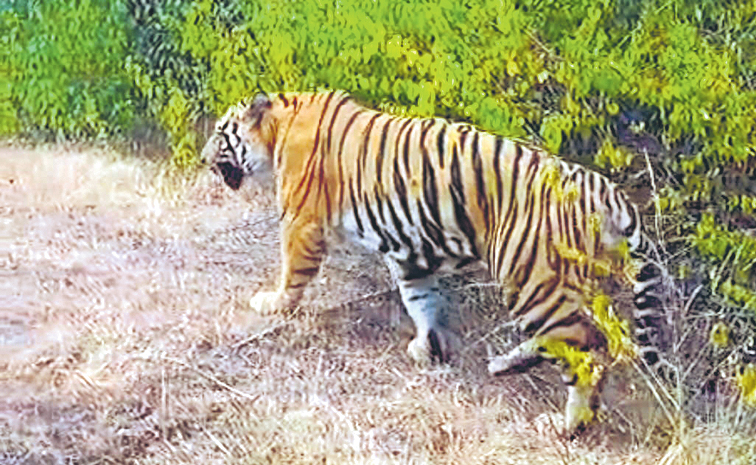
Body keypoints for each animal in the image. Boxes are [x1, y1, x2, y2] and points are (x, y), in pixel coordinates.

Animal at [200, 91, 666, 435]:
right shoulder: (409, 253)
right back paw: (505, 365)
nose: (203, 158)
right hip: (566, 283)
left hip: (531, 277)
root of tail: (603, 190)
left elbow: (292, 270)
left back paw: (568, 426)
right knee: (589, 337)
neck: (280, 126)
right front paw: (427, 347)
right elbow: (419, 299)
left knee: (586, 352)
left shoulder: (301, 221)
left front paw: (273, 303)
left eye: (221, 133)